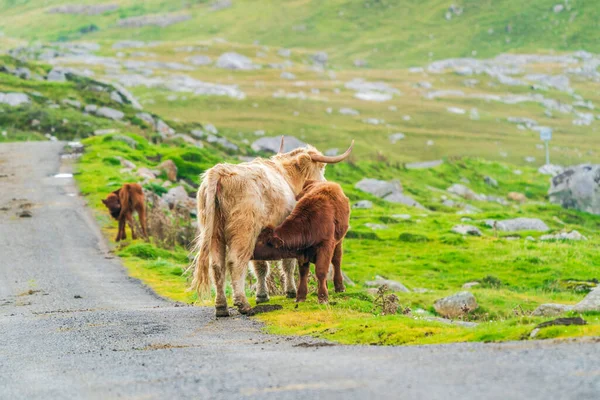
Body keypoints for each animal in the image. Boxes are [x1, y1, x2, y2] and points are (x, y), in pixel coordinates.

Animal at [191, 141, 352, 316]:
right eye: (321, 167)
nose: (325, 181)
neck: (287, 176)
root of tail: (220, 172)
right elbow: (288, 265)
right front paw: (290, 291)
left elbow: (260, 266)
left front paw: (262, 295)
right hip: (244, 232)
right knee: (235, 262)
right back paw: (242, 303)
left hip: (214, 233)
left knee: (217, 265)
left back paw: (221, 306)